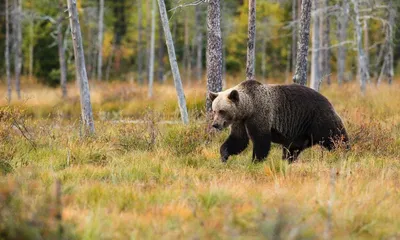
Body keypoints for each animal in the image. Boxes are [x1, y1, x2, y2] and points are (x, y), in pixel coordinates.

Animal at [209, 80, 350, 163]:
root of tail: (328, 100)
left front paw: (256, 160)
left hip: (318, 119)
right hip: (299, 132)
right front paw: (224, 155)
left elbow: (261, 140)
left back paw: (344, 152)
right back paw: (288, 160)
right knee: (292, 149)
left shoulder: (261, 114)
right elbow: (238, 140)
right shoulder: (241, 122)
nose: (215, 124)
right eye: (214, 110)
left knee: (336, 137)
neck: (248, 108)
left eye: (222, 111)